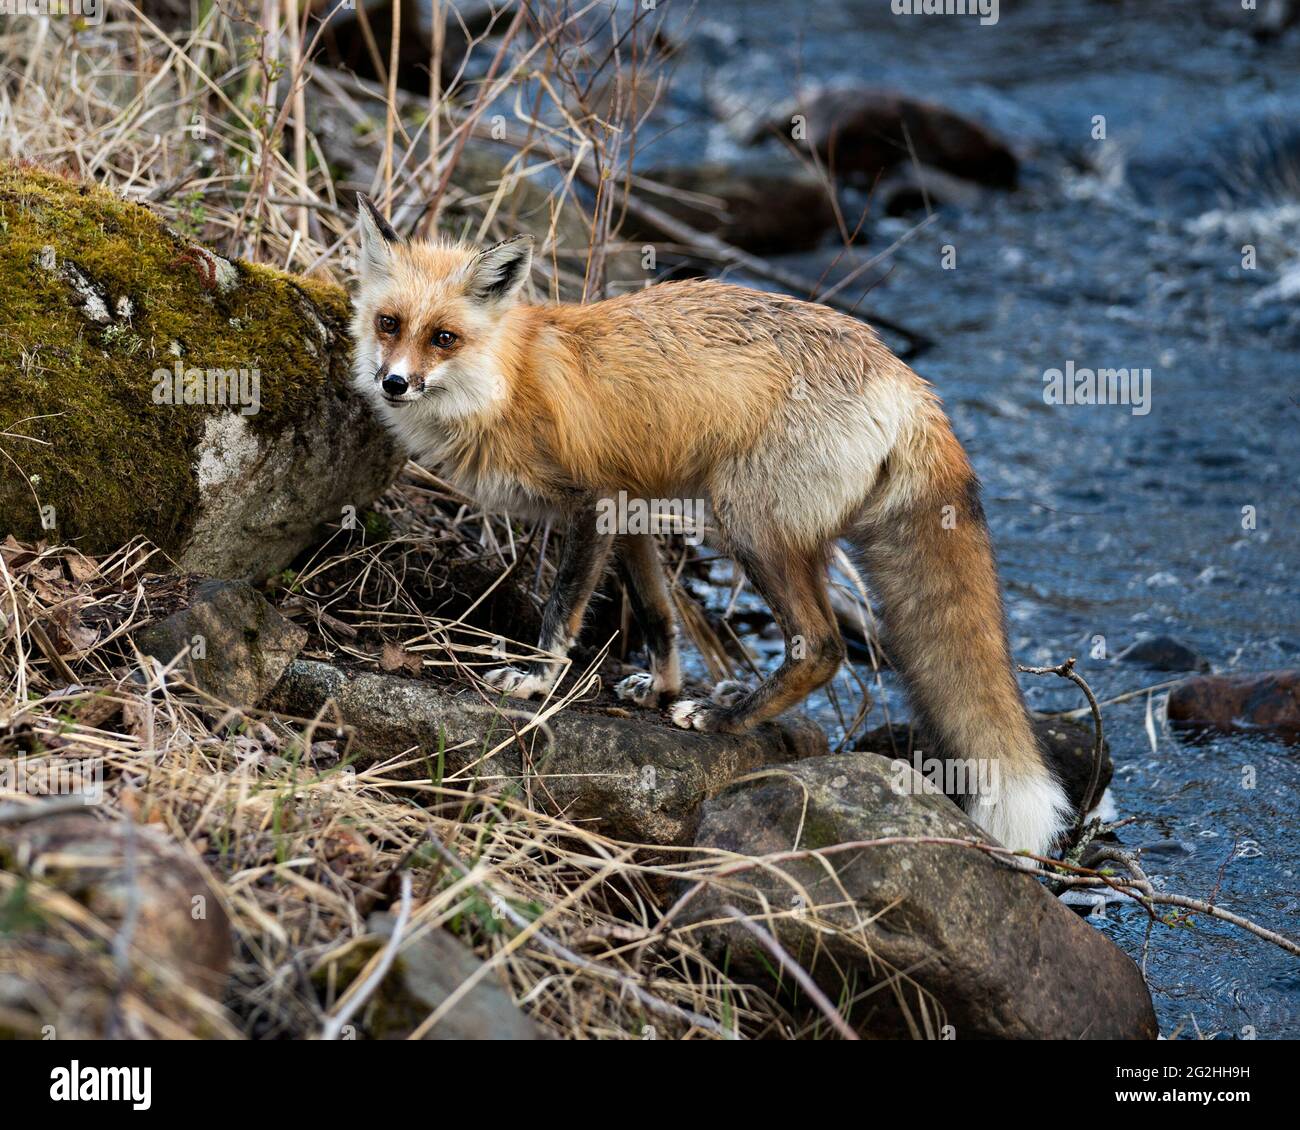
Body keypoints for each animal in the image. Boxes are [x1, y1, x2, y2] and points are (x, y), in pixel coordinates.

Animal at [351, 193, 1071, 853]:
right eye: (389, 323)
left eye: (444, 337)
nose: (394, 384)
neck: (504, 383)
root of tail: (906, 377)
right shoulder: (631, 504)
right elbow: (658, 613)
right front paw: (659, 687)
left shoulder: (593, 502)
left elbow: (562, 610)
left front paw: (535, 679)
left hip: (745, 523)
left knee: (822, 647)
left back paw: (728, 717)